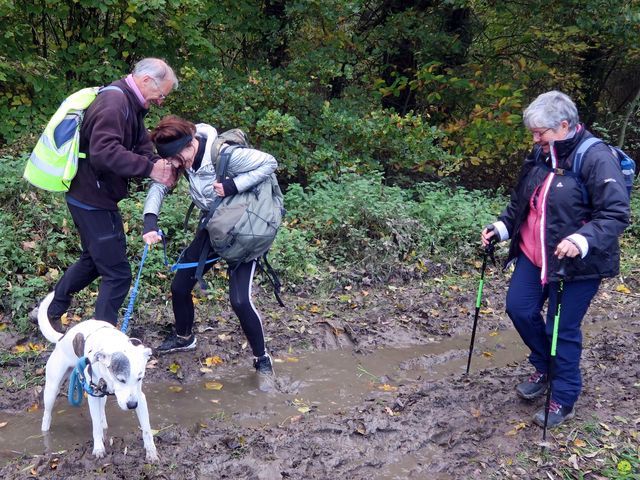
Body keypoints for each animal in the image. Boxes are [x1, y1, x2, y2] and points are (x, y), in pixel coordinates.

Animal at [37, 290, 158, 464]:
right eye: (121, 379)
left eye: (139, 378)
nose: (131, 405)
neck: (114, 344)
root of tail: (62, 338)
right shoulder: (93, 396)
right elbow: (95, 427)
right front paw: (99, 449)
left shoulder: (139, 398)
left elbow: (147, 429)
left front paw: (151, 451)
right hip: (52, 389)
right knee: (47, 413)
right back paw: (45, 432)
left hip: (101, 393)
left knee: (102, 410)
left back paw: (104, 421)